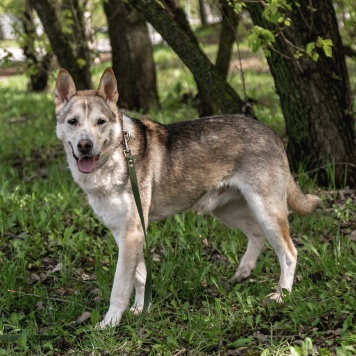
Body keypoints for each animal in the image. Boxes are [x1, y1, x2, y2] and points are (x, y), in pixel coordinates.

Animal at [55, 67, 320, 328]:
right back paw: (241, 273)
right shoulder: (127, 234)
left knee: (289, 253)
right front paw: (141, 309)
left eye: (100, 122)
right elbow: (139, 276)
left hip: (265, 210)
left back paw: (282, 295)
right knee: (256, 234)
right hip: (226, 210)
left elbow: (120, 286)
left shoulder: (132, 232)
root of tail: (271, 132)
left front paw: (109, 323)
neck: (117, 154)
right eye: (73, 122)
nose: (85, 145)